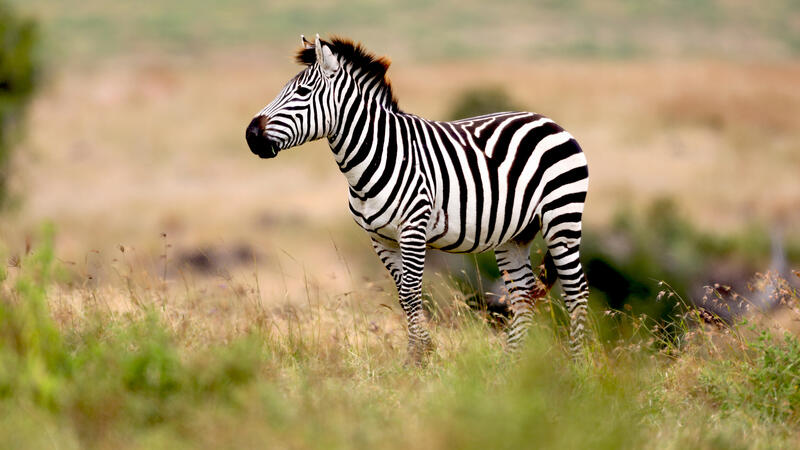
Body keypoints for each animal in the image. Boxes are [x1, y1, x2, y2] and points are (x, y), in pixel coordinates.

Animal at [247, 33, 592, 360]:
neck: (376, 155)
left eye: (303, 93)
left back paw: (578, 365)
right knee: (522, 296)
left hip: (562, 217)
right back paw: (507, 368)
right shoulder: (380, 237)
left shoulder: (413, 227)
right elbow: (403, 296)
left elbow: (412, 294)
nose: (251, 135)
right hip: (516, 234)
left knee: (576, 292)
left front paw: (417, 359)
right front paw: (421, 354)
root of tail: (549, 121)